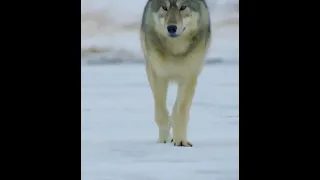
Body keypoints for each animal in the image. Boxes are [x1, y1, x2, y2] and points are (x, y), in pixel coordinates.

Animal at [139, 0, 210, 147]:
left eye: (182, 7)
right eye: (164, 7)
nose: (171, 28)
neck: (175, 50)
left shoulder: (189, 76)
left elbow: (181, 110)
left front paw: (181, 140)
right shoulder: (157, 75)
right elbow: (160, 113)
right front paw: (164, 138)